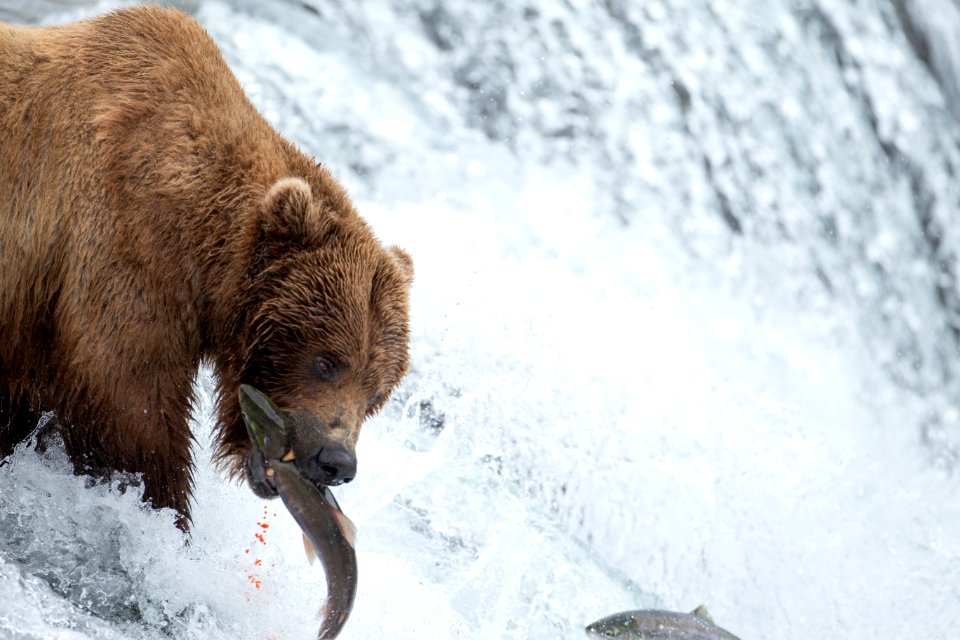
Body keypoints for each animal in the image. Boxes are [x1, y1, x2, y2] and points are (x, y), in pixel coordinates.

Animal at [0, 5, 408, 528]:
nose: (336, 461)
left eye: (377, 394)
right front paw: (166, 516)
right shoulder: (123, 253)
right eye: (326, 361)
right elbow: (130, 415)